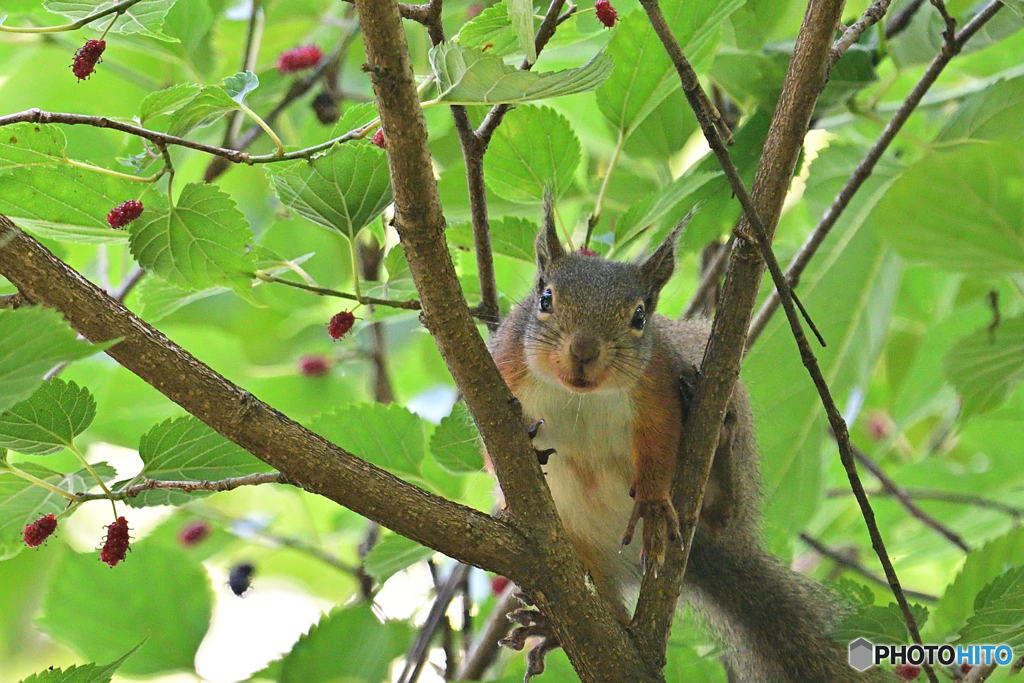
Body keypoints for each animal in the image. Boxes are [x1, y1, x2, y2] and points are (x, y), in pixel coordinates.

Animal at [485, 194, 880, 679]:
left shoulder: (658, 385)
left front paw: (654, 503)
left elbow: (660, 442)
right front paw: (520, 441)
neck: (580, 396)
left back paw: (720, 455)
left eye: (640, 316)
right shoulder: (500, 370)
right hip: (579, 543)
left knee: (723, 513)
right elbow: (489, 437)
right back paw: (561, 626)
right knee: (604, 601)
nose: (583, 352)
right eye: (545, 298)